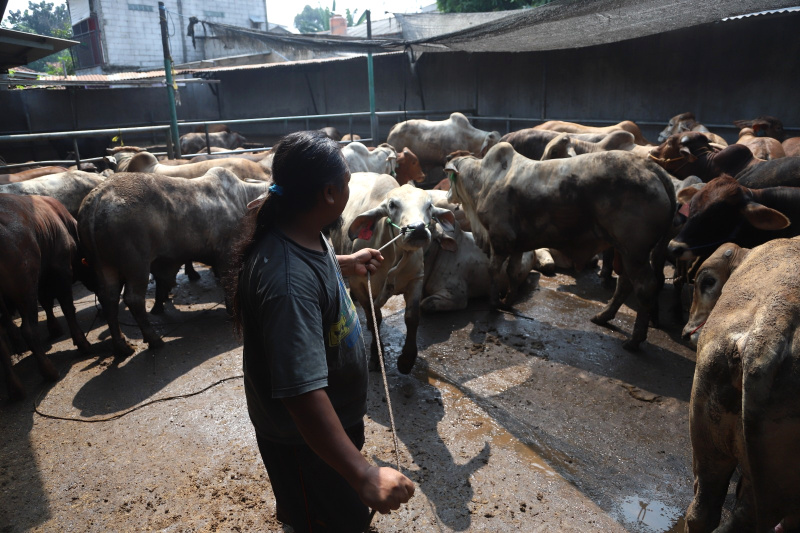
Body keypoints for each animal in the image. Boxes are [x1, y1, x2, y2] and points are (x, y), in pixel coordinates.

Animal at [0, 193, 92, 396]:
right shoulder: (61, 269)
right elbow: (67, 307)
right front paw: (81, 342)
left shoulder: (42, 278)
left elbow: (48, 303)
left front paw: (55, 328)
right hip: (25, 287)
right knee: (28, 330)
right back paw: (49, 371)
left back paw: (15, 388)